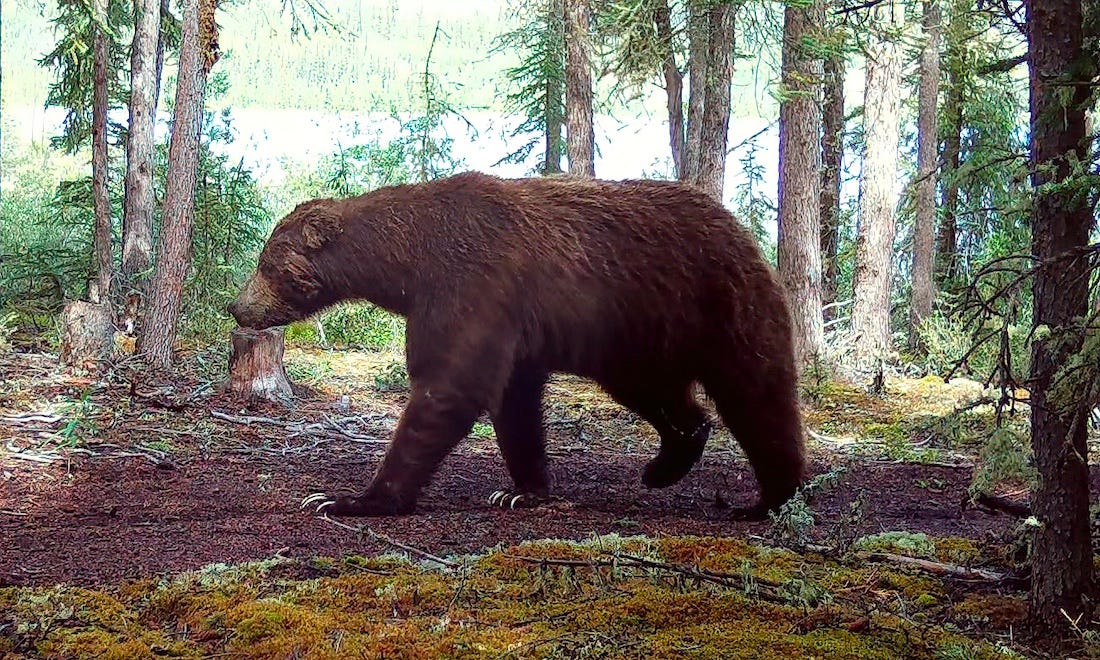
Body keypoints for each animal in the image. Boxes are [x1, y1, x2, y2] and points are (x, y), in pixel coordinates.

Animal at [229, 171, 806, 520]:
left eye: (265, 262)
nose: (237, 306)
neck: (408, 266)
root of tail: (742, 227)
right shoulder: (511, 326)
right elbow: (515, 402)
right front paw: (520, 489)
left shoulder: (470, 281)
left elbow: (449, 385)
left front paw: (348, 497)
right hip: (637, 337)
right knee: (661, 394)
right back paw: (666, 463)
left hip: (718, 304)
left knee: (757, 393)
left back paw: (768, 498)